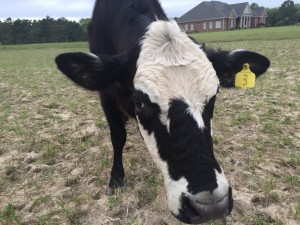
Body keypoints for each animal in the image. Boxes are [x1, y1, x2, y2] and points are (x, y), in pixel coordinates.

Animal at [55, 0, 270, 223]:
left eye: (214, 96)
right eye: (140, 103)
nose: (210, 206)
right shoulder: (106, 97)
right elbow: (118, 138)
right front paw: (116, 178)